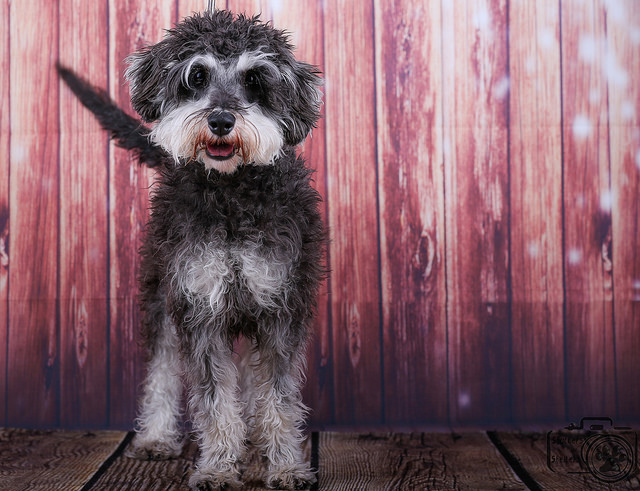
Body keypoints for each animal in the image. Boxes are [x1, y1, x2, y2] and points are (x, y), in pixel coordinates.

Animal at [58, 8, 324, 491]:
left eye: (255, 80)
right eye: (196, 76)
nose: (220, 120)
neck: (231, 192)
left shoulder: (279, 309)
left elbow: (277, 396)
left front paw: (285, 466)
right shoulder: (198, 307)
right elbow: (214, 398)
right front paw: (218, 468)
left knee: (249, 379)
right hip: (159, 298)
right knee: (161, 371)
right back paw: (157, 437)